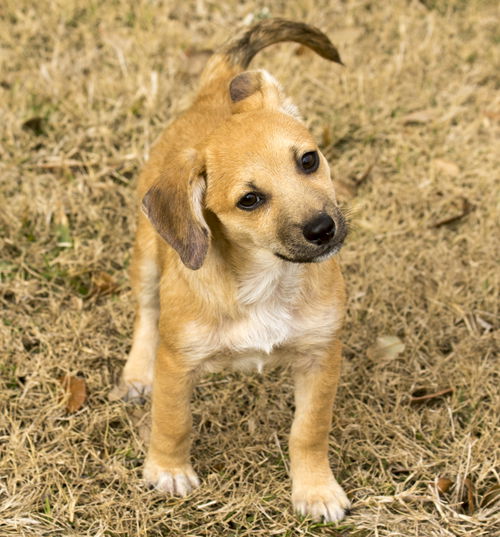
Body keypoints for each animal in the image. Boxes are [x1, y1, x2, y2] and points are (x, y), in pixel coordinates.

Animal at [117, 18, 352, 520]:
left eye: (308, 160)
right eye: (250, 200)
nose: (323, 229)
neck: (266, 279)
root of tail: (213, 91)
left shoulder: (321, 356)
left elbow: (309, 431)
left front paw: (315, 490)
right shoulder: (177, 361)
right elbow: (173, 421)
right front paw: (168, 470)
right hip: (146, 259)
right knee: (146, 315)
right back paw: (136, 375)